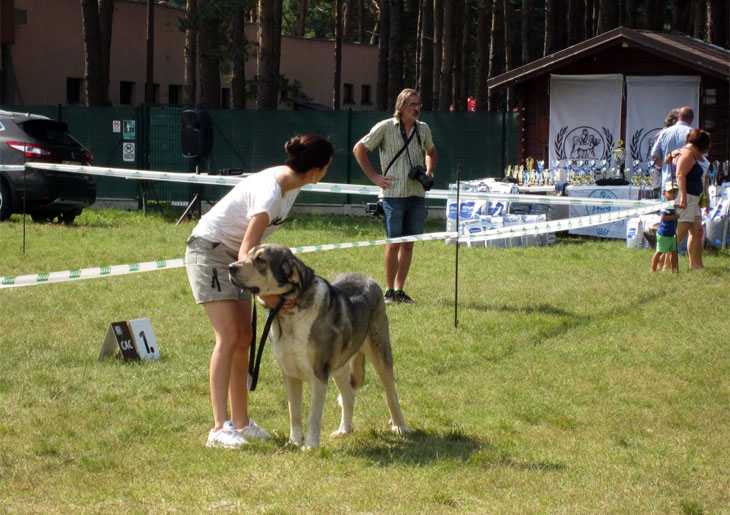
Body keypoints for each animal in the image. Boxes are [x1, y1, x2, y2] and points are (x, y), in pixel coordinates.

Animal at [228, 244, 406, 450]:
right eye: (248, 255)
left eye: (260, 260)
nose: (230, 267)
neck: (289, 313)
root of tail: (368, 278)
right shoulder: (290, 374)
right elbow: (294, 413)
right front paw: (294, 442)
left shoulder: (319, 374)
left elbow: (313, 415)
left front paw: (310, 446)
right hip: (340, 367)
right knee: (349, 397)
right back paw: (343, 431)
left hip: (380, 352)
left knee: (391, 394)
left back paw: (399, 426)